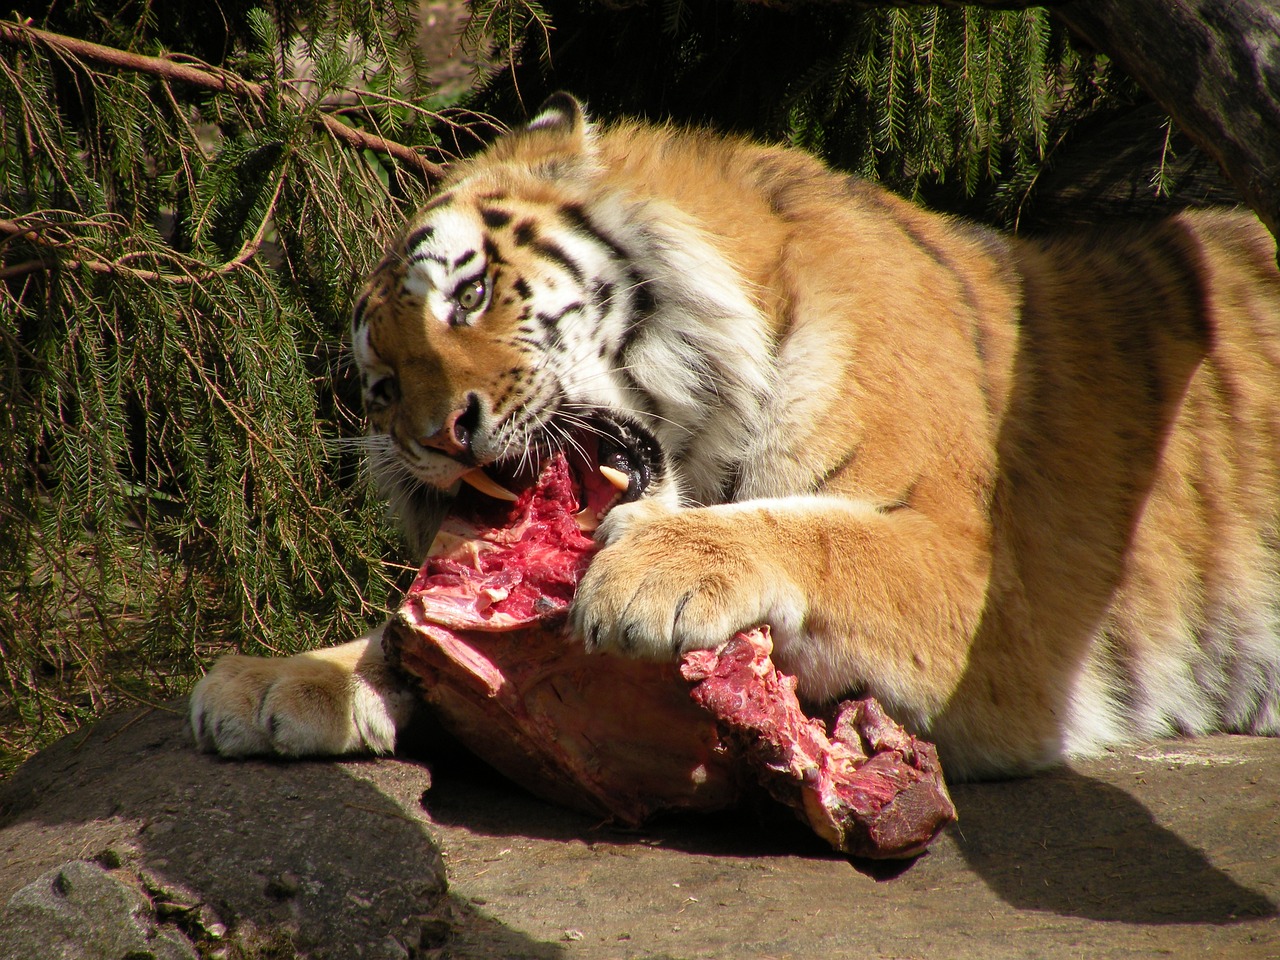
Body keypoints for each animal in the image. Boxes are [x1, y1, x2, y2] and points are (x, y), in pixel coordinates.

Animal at [189, 90, 1280, 783]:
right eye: (380, 385)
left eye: (469, 294)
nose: (440, 435)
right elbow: (398, 632)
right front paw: (283, 678)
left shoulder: (988, 589)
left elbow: (822, 532)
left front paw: (654, 571)